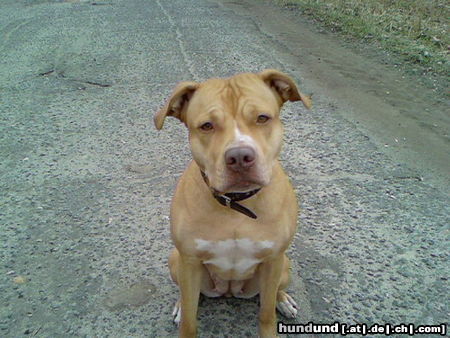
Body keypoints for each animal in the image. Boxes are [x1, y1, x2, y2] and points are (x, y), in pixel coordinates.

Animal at [154, 70, 310, 336]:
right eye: (206, 126)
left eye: (262, 118)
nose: (239, 156)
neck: (236, 205)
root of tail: (229, 290)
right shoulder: (189, 261)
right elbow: (189, 322)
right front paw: (185, 315)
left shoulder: (273, 260)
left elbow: (266, 314)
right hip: (176, 260)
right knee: (188, 296)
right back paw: (181, 305)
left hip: (283, 265)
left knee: (273, 292)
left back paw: (283, 300)